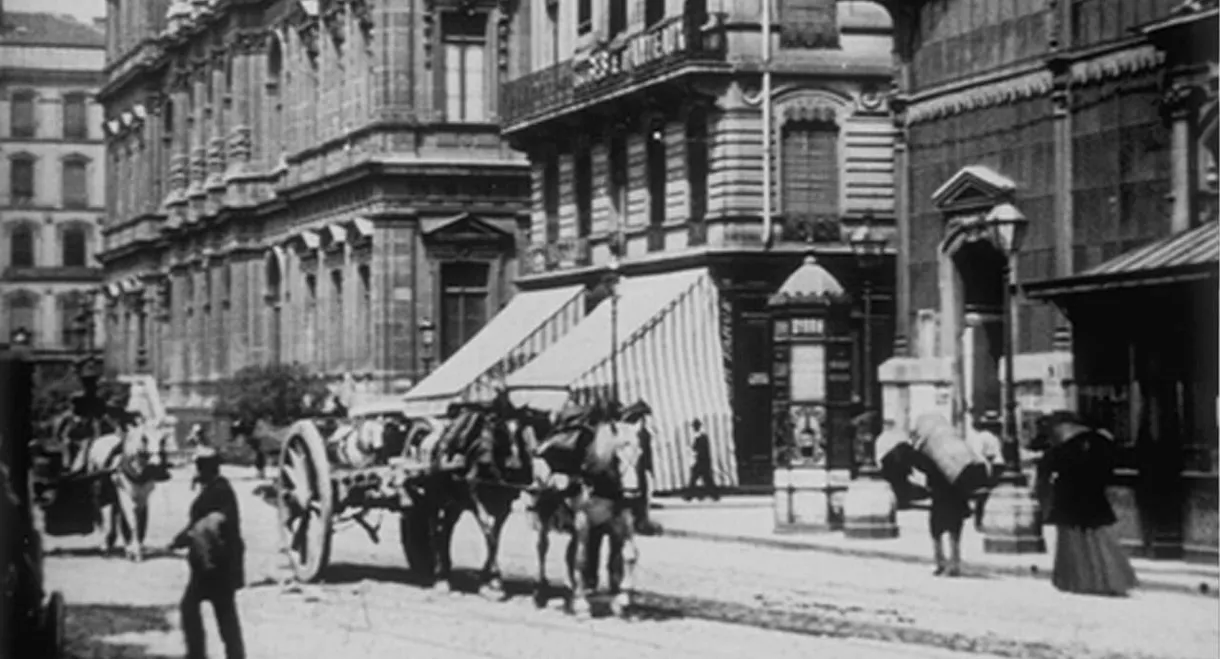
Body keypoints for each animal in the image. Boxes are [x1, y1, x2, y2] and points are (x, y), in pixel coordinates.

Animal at [83, 424, 173, 558]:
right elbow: (132, 518)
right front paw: (133, 549)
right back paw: (104, 543)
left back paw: (112, 539)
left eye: (163, 440)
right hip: (97, 488)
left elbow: (139, 520)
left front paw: (135, 547)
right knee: (98, 512)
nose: (157, 469)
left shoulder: (143, 496)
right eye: (144, 439)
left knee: (115, 512)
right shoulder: (125, 494)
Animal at [419, 392, 534, 600]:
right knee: (434, 529)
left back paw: (447, 571)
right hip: (434, 497)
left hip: (454, 504)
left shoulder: (504, 506)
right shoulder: (474, 498)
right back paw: (440, 577)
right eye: (500, 429)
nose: (515, 465)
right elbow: (488, 531)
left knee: (446, 529)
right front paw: (493, 582)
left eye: (521, 429)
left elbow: (495, 535)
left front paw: (491, 581)